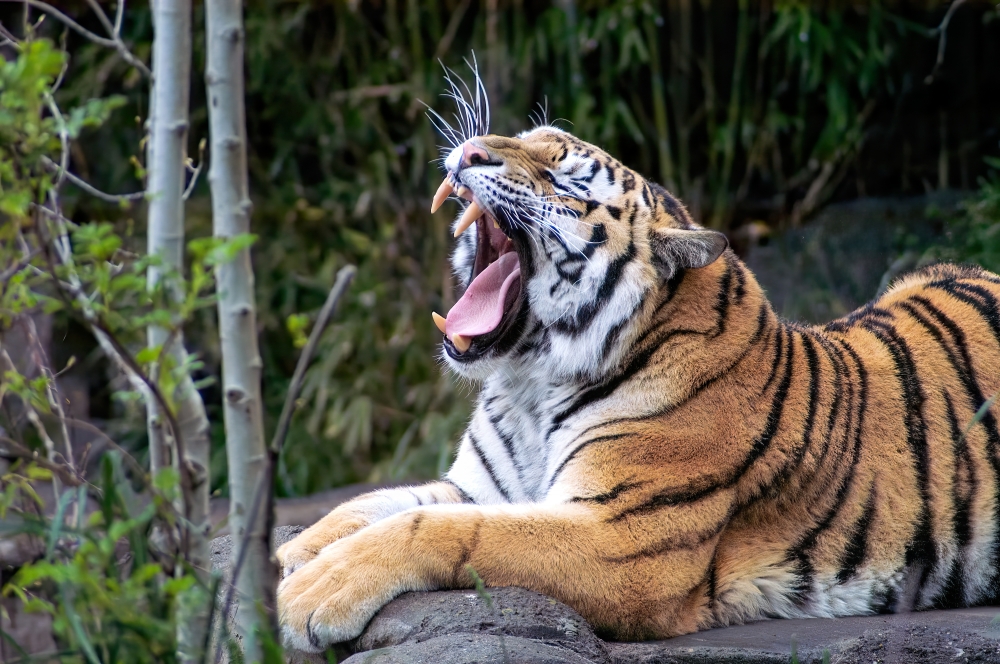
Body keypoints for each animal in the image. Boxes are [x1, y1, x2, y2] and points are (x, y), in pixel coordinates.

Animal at [274, 126, 1000, 652]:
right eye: (519, 135)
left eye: (562, 177)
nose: (470, 149)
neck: (528, 385)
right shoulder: (484, 487)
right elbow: (375, 503)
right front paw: (294, 553)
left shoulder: (623, 541)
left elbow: (437, 528)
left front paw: (311, 593)